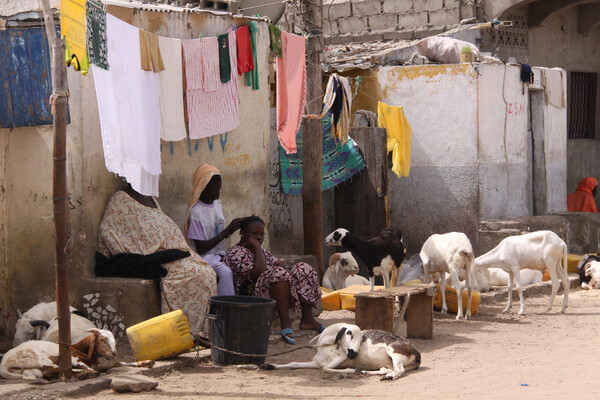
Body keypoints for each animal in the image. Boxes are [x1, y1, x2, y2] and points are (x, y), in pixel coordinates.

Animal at [1, 328, 155, 382]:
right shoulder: (75, 357)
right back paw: (84, 374)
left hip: (29, 368)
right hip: (35, 356)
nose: (114, 353)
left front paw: (145, 362)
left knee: (46, 372)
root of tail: (3, 364)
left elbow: (118, 363)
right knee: (52, 368)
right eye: (102, 340)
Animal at [262, 322, 422, 382]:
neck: (326, 347)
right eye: (349, 333)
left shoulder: (338, 361)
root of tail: (416, 352)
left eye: (362, 338)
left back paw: (388, 377)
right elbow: (294, 363)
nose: (353, 354)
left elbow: (326, 369)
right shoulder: (316, 362)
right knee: (386, 369)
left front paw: (352, 370)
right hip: (389, 362)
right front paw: (269, 366)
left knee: (399, 370)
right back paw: (367, 372)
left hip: (394, 354)